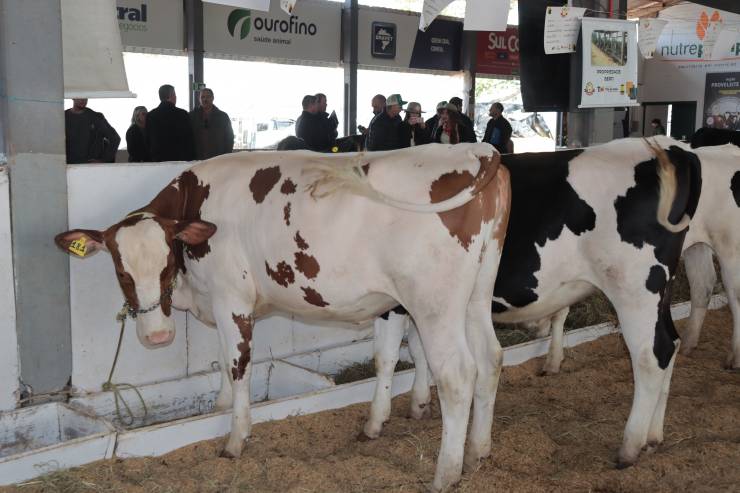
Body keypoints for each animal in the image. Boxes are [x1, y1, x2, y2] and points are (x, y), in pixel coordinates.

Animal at [56, 142, 508, 492]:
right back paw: (478, 452)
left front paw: (235, 438)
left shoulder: (232, 299)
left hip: (434, 304)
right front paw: (220, 406)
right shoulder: (218, 301)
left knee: (457, 376)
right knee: (490, 358)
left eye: (167, 264)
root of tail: (474, 150)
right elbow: (223, 360)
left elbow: (238, 365)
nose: (155, 336)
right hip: (476, 295)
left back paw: (445, 474)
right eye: (121, 271)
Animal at [368, 135, 704, 468]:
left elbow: (386, 356)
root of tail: (668, 148)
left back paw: (630, 447)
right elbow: (418, 350)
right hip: (662, 290)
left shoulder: (398, 298)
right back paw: (653, 437)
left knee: (651, 355)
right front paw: (419, 403)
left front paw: (376, 421)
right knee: (670, 345)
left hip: (636, 288)